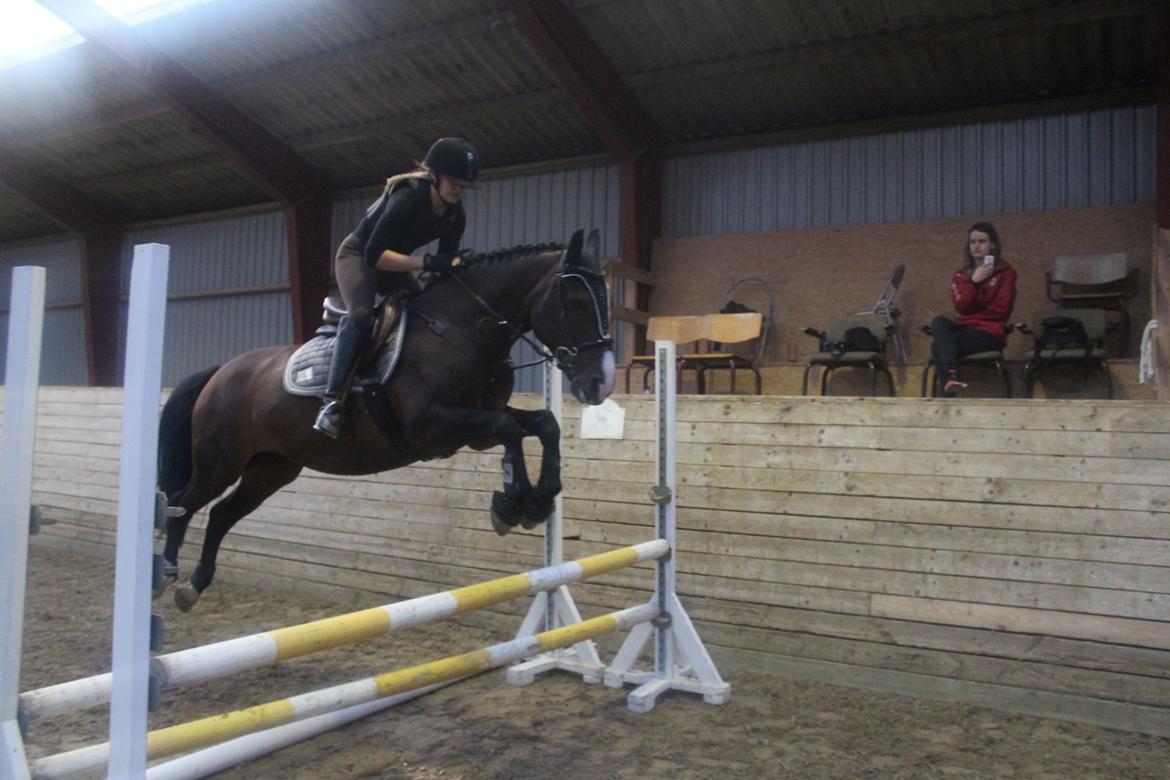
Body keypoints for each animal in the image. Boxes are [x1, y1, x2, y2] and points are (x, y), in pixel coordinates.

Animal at [160, 229, 617, 612]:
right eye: (577, 302)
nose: (602, 383)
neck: (460, 329)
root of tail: (221, 371)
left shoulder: (477, 428)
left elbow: (543, 425)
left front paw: (538, 499)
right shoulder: (431, 427)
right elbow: (511, 431)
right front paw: (513, 504)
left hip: (271, 468)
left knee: (220, 513)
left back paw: (193, 586)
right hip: (220, 462)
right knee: (181, 503)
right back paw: (164, 575)